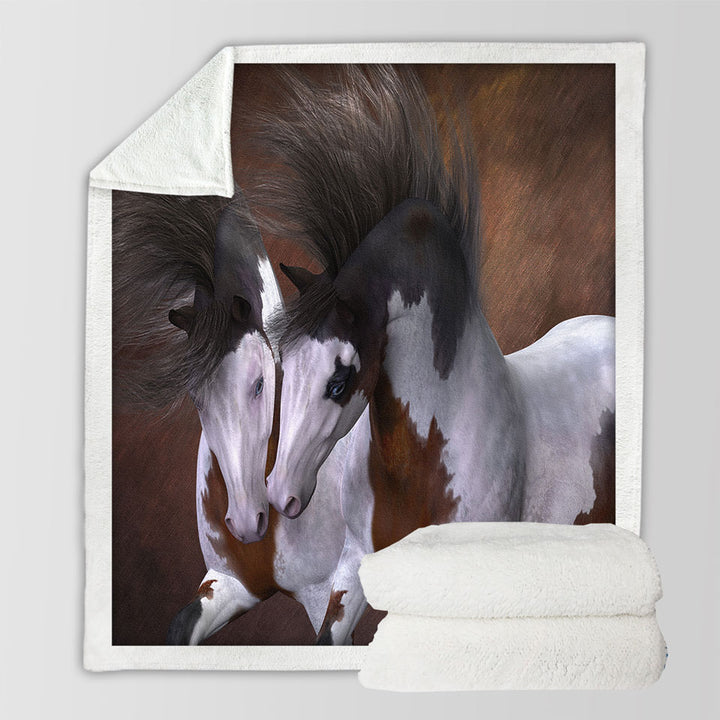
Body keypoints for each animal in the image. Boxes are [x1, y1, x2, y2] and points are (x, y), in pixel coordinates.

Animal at [112, 188, 347, 644]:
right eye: (195, 397)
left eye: (258, 385)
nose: (245, 522)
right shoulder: (230, 583)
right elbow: (180, 627)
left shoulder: (330, 592)